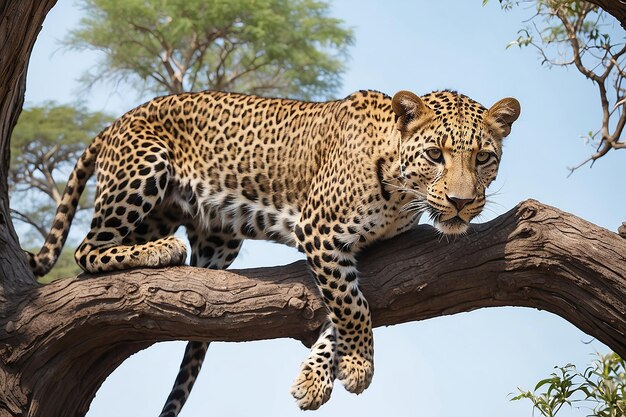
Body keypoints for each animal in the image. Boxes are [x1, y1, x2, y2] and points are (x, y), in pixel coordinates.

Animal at [24, 88, 520, 412]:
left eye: (483, 158)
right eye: (435, 154)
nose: (461, 202)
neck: (401, 190)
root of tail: (117, 121)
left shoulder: (371, 254)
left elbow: (346, 308)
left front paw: (315, 378)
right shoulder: (319, 230)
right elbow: (351, 306)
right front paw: (359, 365)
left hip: (211, 232)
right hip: (143, 170)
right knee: (87, 250)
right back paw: (160, 251)